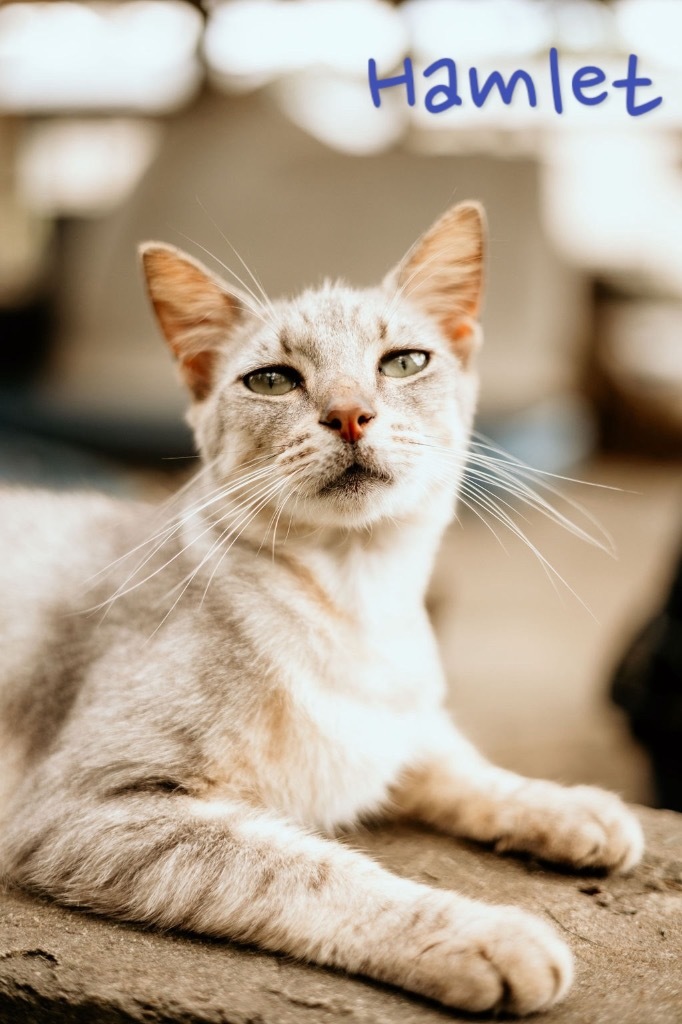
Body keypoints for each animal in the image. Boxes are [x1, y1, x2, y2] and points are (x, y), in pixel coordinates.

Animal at [0, 201, 643, 1015]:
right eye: (273, 380)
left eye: (403, 363)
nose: (349, 415)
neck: (357, 602)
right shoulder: (89, 807)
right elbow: (312, 869)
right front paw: (483, 934)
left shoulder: (396, 731)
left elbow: (465, 766)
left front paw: (568, 809)